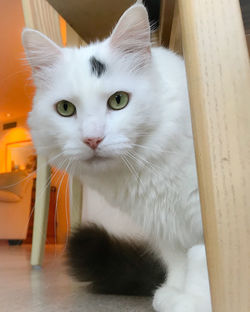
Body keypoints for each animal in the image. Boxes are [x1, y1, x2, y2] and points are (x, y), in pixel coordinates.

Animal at [23, 3, 211, 312]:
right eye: (65, 108)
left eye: (118, 100)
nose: (92, 139)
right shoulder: (164, 227)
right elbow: (178, 260)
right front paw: (173, 293)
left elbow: (203, 256)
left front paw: (197, 301)